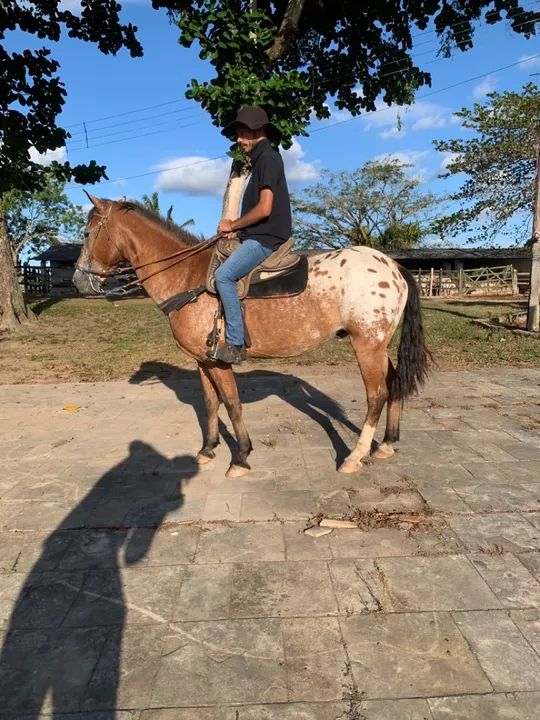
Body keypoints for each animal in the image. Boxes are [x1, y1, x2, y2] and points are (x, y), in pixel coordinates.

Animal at [73, 195, 430, 478]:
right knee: (394, 383)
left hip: (366, 344)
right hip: (379, 345)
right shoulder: (203, 361)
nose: (78, 280)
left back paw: (355, 457)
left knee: (376, 395)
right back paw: (387, 444)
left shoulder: (220, 362)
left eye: (88, 233)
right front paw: (208, 449)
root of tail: (394, 267)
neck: (186, 277)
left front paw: (241, 457)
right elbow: (210, 403)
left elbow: (232, 404)